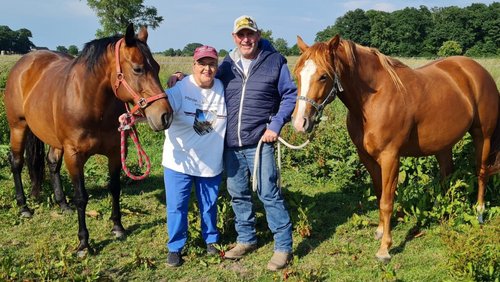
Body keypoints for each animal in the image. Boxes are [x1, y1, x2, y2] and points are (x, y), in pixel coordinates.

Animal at [3, 23, 174, 254]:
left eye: (156, 67)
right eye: (138, 69)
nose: (165, 116)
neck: (91, 104)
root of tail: (25, 61)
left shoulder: (115, 152)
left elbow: (115, 188)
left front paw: (118, 227)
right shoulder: (74, 155)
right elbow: (81, 197)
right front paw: (84, 243)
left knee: (52, 163)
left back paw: (63, 204)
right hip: (18, 127)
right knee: (16, 163)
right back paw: (24, 207)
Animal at [292, 34, 500, 262]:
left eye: (323, 76)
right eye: (297, 75)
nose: (300, 123)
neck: (373, 99)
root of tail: (477, 70)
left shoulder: (390, 157)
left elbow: (387, 201)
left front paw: (385, 248)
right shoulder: (367, 158)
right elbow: (379, 193)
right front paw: (380, 231)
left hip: (483, 137)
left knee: (481, 172)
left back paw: (479, 212)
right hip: (443, 145)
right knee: (447, 175)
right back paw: (442, 211)